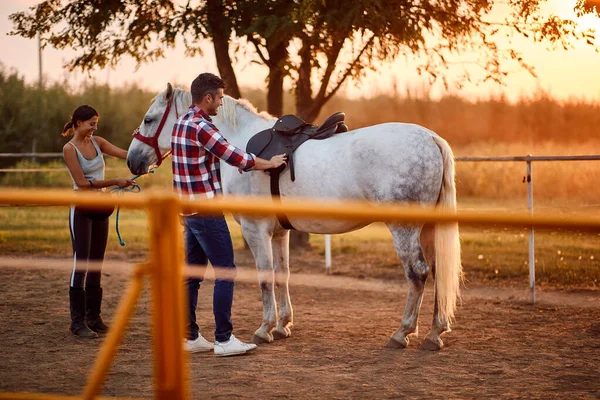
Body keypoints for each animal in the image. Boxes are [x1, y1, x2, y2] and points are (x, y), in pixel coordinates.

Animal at [126, 84, 462, 350]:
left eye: (149, 119)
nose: (132, 161)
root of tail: (431, 138)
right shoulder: (279, 232)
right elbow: (282, 275)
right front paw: (283, 325)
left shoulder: (256, 230)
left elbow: (264, 277)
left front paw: (264, 329)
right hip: (427, 228)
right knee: (437, 270)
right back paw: (435, 333)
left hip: (404, 229)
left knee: (418, 273)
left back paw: (402, 333)